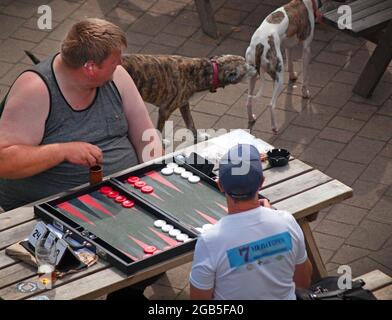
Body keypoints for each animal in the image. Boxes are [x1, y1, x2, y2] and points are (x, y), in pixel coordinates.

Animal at [245, 0, 324, 132]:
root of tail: (259, 45)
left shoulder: (288, 45)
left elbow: (291, 64)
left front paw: (292, 77)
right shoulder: (307, 48)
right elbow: (305, 75)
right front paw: (305, 93)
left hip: (253, 77)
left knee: (248, 100)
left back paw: (251, 118)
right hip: (278, 79)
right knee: (271, 105)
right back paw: (274, 127)